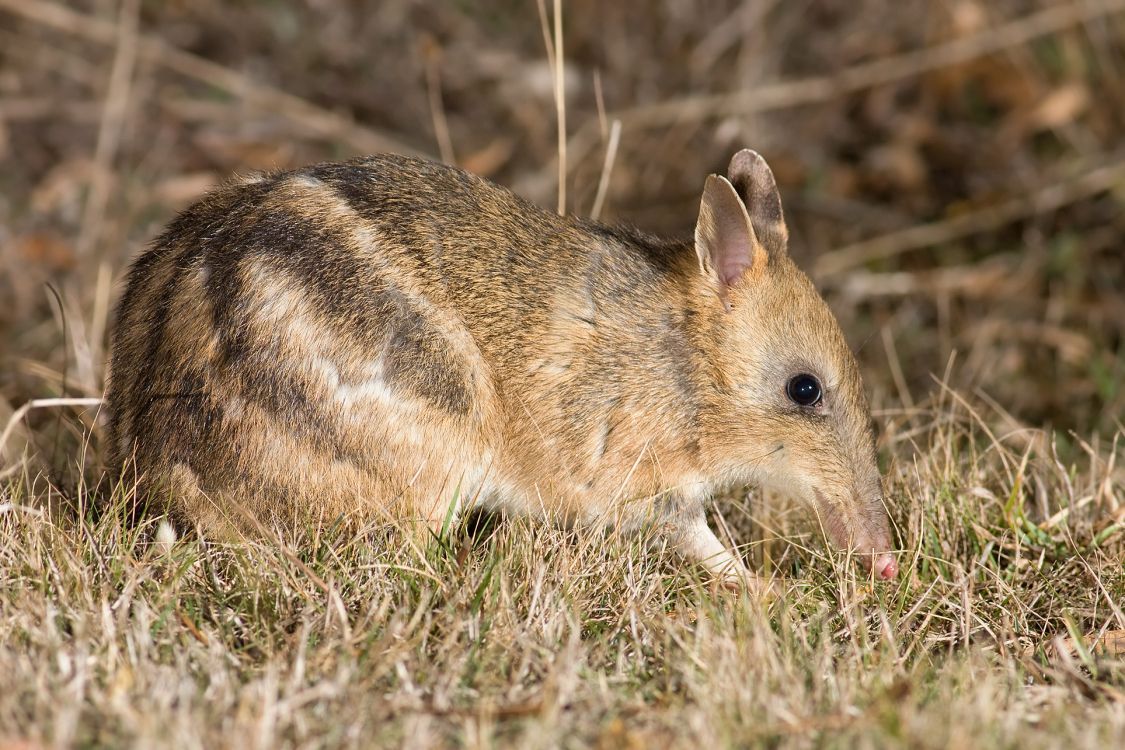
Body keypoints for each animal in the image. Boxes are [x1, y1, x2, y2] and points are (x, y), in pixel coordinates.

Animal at [105, 148, 898, 589]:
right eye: (804, 388)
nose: (884, 561)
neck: (681, 364)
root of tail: (162, 476)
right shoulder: (638, 485)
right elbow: (704, 542)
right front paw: (767, 592)